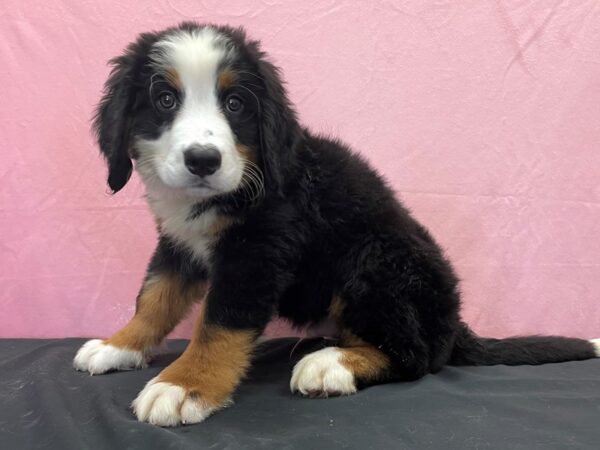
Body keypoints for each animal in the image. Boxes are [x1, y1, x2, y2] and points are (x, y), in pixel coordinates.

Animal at [72, 22, 596, 428]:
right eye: (164, 99)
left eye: (236, 104)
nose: (203, 160)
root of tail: (454, 322)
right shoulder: (178, 244)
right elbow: (154, 298)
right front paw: (119, 346)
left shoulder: (258, 251)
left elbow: (218, 323)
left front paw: (184, 385)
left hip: (374, 259)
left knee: (418, 357)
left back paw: (333, 364)